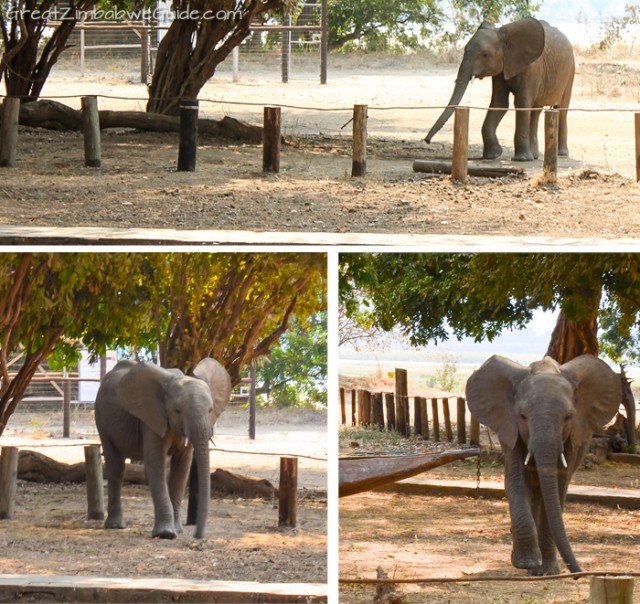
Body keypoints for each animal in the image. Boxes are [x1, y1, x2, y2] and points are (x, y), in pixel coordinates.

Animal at [95, 358, 232, 536]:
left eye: (210, 411)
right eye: (177, 411)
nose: (197, 536)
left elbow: (182, 468)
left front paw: (177, 530)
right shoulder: (153, 418)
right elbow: (157, 464)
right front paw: (165, 534)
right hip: (101, 419)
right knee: (116, 468)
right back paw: (115, 526)